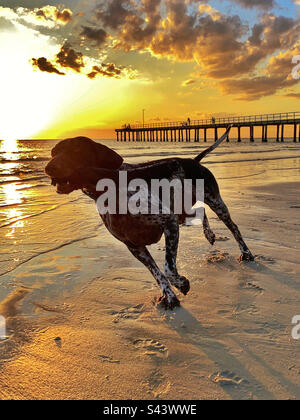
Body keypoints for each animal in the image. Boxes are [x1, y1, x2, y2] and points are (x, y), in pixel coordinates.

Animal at [45, 124, 254, 308]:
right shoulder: (134, 246)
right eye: (53, 152)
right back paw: (209, 234)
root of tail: (193, 161)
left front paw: (181, 283)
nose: (48, 168)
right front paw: (169, 296)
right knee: (201, 213)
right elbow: (157, 273)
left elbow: (168, 268)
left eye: (76, 151)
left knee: (234, 228)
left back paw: (246, 253)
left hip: (215, 202)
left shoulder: (168, 222)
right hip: (182, 213)